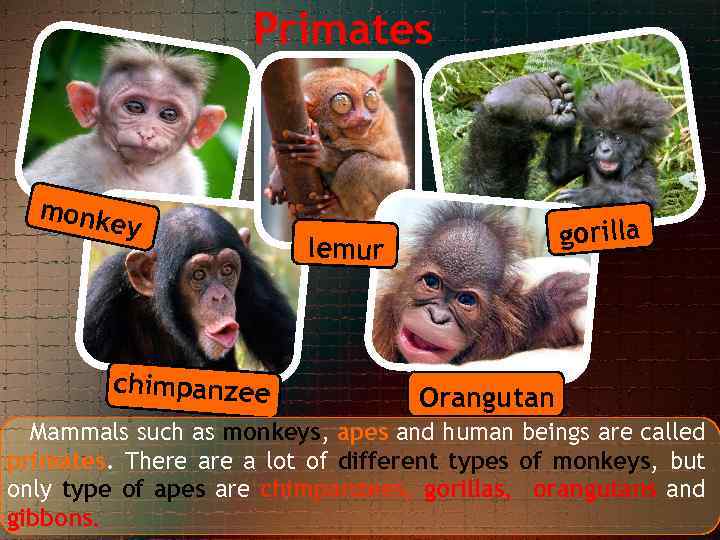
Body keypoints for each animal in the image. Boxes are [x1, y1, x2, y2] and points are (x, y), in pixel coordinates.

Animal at [23, 40, 227, 196]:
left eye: (169, 115)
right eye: (135, 107)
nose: (146, 133)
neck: (136, 170)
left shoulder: (188, 173)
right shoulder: (71, 160)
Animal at [264, 65, 409, 220]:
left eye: (371, 98)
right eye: (342, 103)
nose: (365, 118)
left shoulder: (380, 129)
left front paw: (320, 154)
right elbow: (274, 154)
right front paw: (277, 178)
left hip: (396, 183)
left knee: (355, 166)